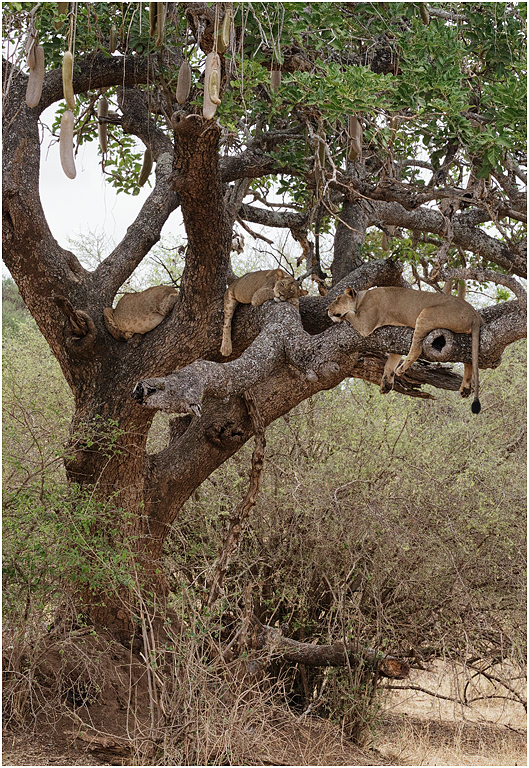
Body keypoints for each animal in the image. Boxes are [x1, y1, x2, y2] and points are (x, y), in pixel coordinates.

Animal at [328, 286, 483, 414]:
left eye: (337, 299)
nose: (327, 310)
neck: (361, 298)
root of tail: (474, 313)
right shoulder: (394, 342)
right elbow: (390, 362)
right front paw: (386, 384)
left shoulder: (365, 324)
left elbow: (348, 314)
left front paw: (340, 317)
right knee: (469, 360)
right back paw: (465, 389)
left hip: (426, 313)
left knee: (417, 349)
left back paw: (401, 369)